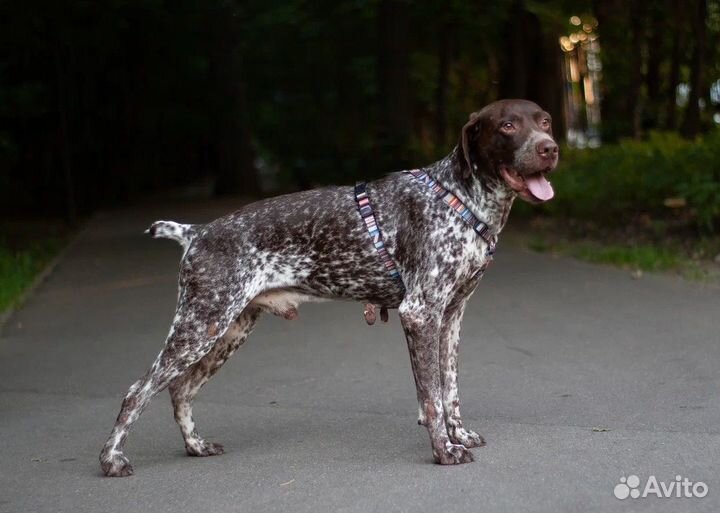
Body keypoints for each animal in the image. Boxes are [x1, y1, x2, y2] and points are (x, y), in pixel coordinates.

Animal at [101, 99, 560, 476]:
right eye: (507, 126)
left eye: (545, 121)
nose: (550, 148)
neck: (461, 198)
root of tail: (197, 233)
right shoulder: (421, 313)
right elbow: (431, 397)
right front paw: (443, 451)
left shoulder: (450, 318)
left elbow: (449, 389)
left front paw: (458, 435)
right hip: (201, 327)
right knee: (137, 392)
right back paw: (112, 459)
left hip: (228, 331)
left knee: (181, 389)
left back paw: (195, 446)